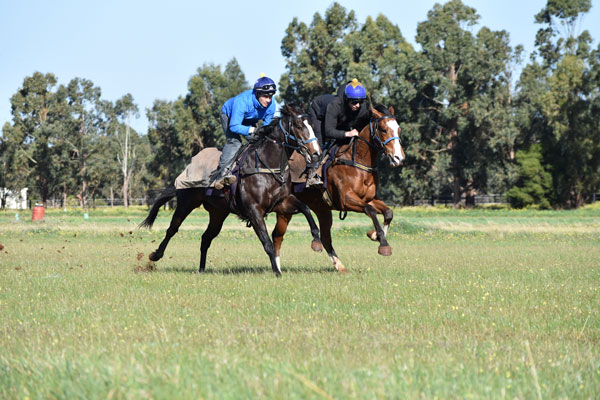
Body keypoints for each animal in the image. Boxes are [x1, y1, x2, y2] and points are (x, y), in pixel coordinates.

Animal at [141, 104, 324, 276]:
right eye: (299, 125)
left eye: (312, 124)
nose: (316, 154)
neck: (268, 167)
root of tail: (188, 167)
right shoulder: (254, 211)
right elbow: (267, 243)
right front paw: (277, 272)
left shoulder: (281, 202)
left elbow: (306, 209)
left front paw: (316, 241)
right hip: (186, 202)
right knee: (173, 229)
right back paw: (155, 255)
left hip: (218, 212)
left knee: (206, 238)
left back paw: (201, 269)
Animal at [274, 103, 406, 272]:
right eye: (383, 129)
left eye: (399, 129)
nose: (399, 158)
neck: (357, 161)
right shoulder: (346, 200)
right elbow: (370, 211)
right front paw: (383, 244)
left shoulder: (368, 198)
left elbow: (388, 212)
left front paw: (375, 235)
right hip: (285, 208)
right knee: (278, 236)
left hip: (321, 209)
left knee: (323, 238)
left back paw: (339, 265)